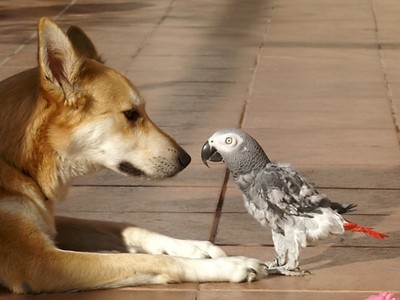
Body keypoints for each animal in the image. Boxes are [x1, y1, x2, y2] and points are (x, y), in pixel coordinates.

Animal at [0, 18, 268, 292]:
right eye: (131, 114)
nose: (187, 159)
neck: (17, 161)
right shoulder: (38, 261)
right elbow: (155, 261)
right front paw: (230, 265)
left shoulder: (54, 226)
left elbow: (127, 228)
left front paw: (193, 247)